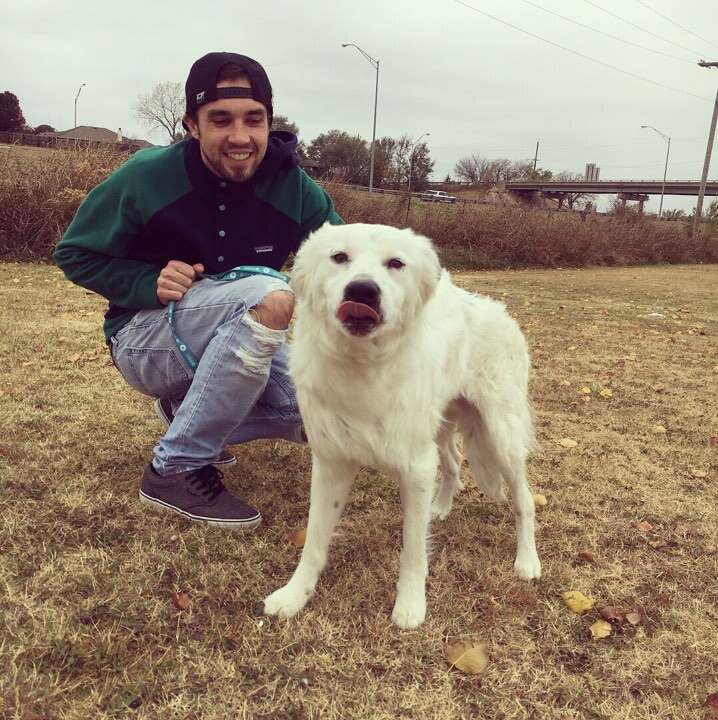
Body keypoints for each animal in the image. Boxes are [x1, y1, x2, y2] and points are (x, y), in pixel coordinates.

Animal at [262, 222, 540, 628]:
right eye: (339, 257)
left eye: (395, 263)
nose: (362, 291)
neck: (363, 365)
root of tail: (498, 311)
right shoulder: (332, 463)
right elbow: (314, 541)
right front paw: (295, 595)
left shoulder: (416, 468)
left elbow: (413, 549)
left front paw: (410, 605)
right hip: (441, 429)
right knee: (453, 464)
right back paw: (441, 508)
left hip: (500, 435)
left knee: (524, 499)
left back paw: (527, 561)